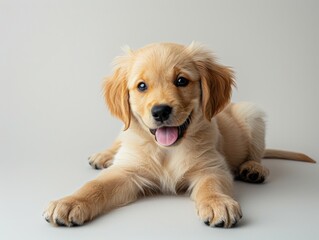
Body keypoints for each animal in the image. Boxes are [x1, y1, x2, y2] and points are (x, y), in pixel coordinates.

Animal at [42, 42, 316, 228]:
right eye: (142, 86)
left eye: (182, 81)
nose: (161, 111)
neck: (167, 151)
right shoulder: (127, 171)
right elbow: (95, 186)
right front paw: (69, 202)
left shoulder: (212, 166)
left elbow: (211, 184)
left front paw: (218, 203)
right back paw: (103, 155)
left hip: (252, 113)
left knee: (257, 153)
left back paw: (253, 169)